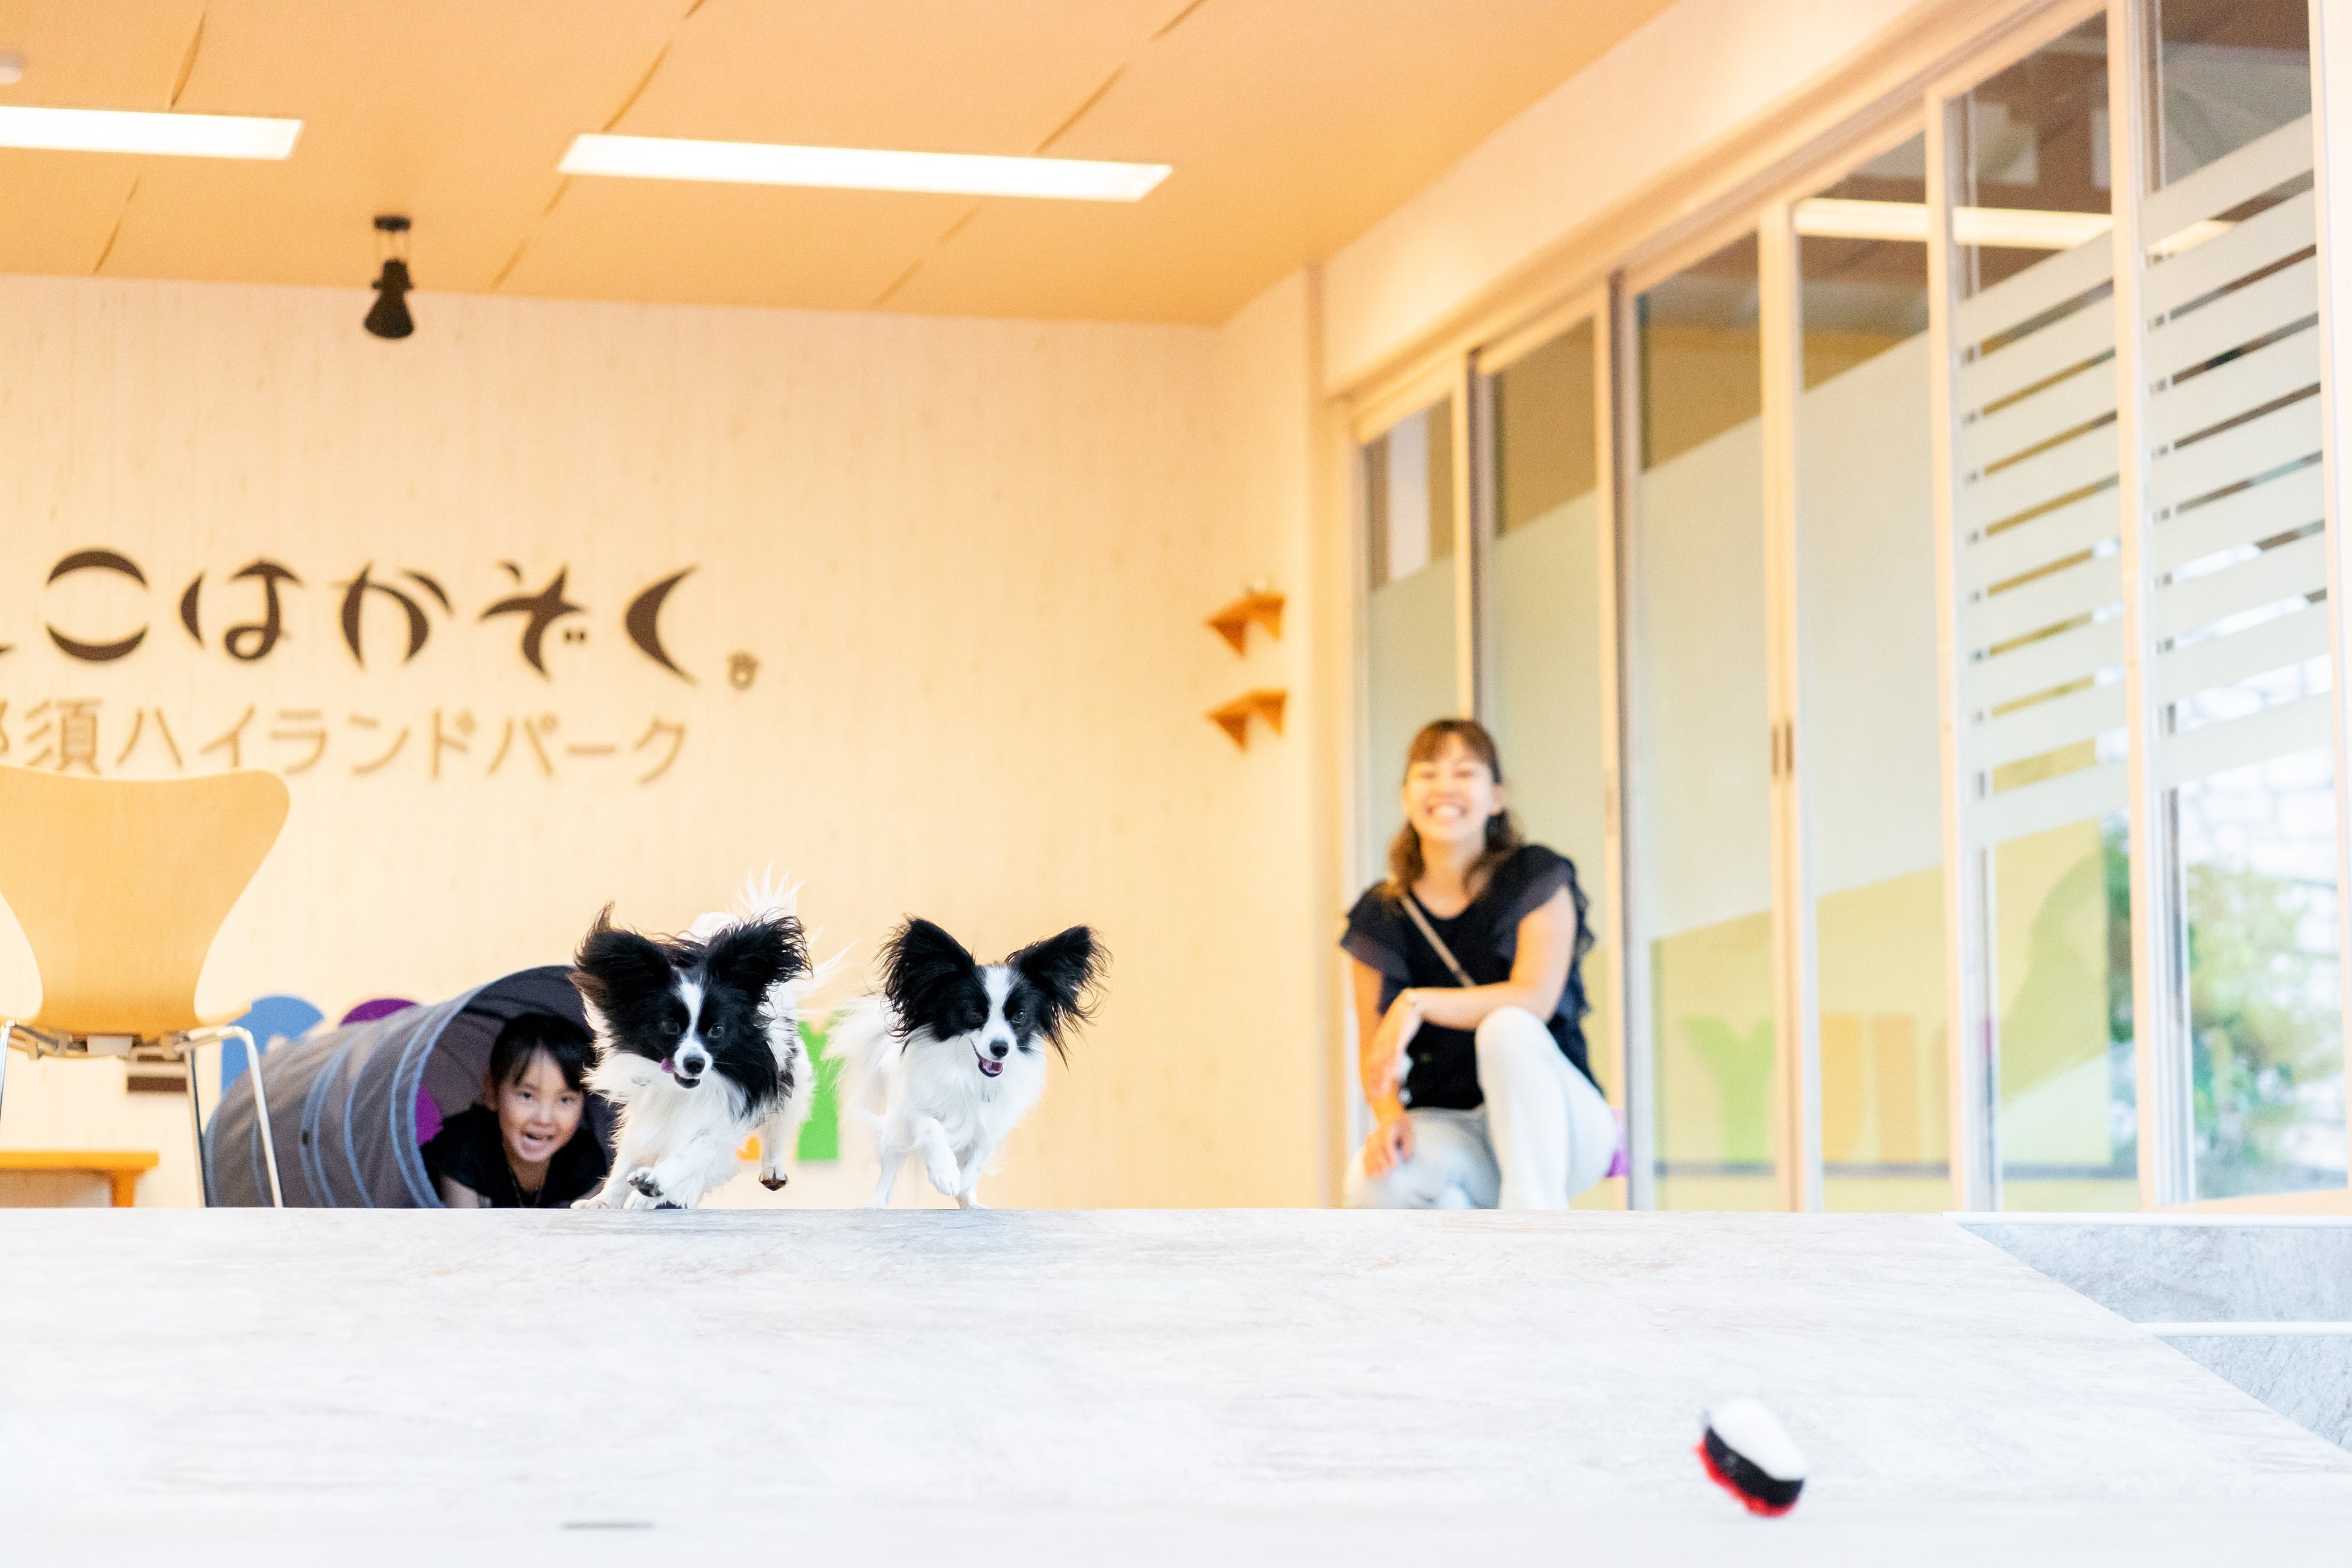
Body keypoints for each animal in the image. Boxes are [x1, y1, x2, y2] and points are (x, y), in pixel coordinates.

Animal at [568, 880, 827, 1210]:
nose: (695, 1063)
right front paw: (603, 1201)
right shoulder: (647, 1113)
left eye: (717, 1030)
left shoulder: (724, 1119)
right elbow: (627, 1159)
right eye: (670, 1026)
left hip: (792, 1084)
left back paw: (772, 1168)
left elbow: (691, 1151)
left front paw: (655, 1185)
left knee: (779, 1125)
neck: (681, 1092)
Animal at [837, 917, 1106, 1208]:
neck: (970, 1073)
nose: (1001, 1048)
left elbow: (979, 1157)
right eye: (974, 1014)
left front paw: (962, 1184)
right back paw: (877, 1204)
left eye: (1020, 1016)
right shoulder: (912, 1110)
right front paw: (946, 1174)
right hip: (893, 1132)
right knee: (889, 1168)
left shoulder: (995, 1123)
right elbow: (932, 1127)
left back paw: (971, 1204)